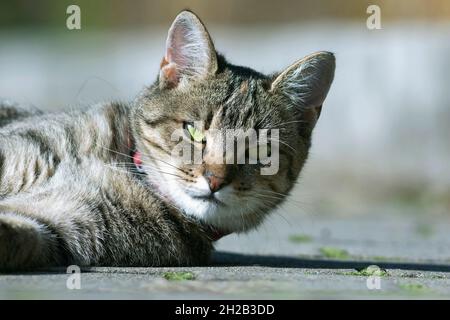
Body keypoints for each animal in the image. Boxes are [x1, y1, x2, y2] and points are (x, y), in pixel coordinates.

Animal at [0, 10, 334, 270]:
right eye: (194, 131)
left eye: (259, 150)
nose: (215, 180)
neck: (128, 170)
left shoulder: (63, 225)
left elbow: (23, 235)